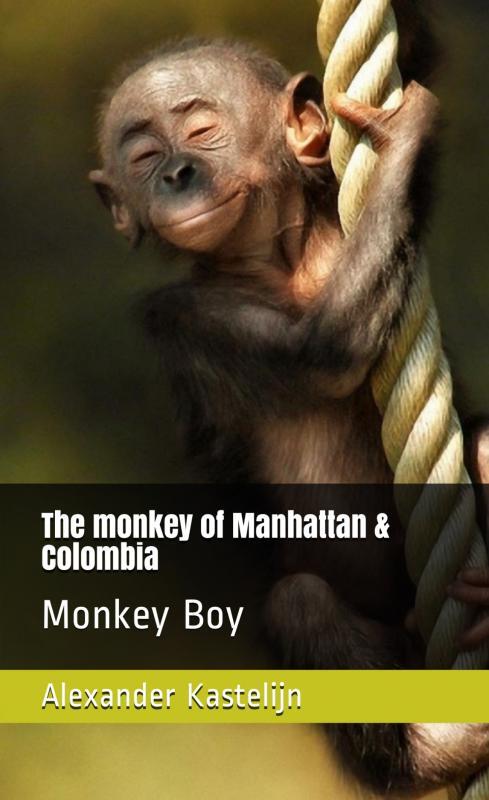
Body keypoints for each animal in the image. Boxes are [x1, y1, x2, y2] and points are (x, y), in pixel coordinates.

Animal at [89, 2, 489, 795]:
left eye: (200, 130)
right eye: (143, 155)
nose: (177, 173)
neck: (275, 262)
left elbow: (418, 53)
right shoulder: (183, 317)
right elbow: (321, 352)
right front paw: (401, 141)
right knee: (300, 604)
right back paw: (436, 749)